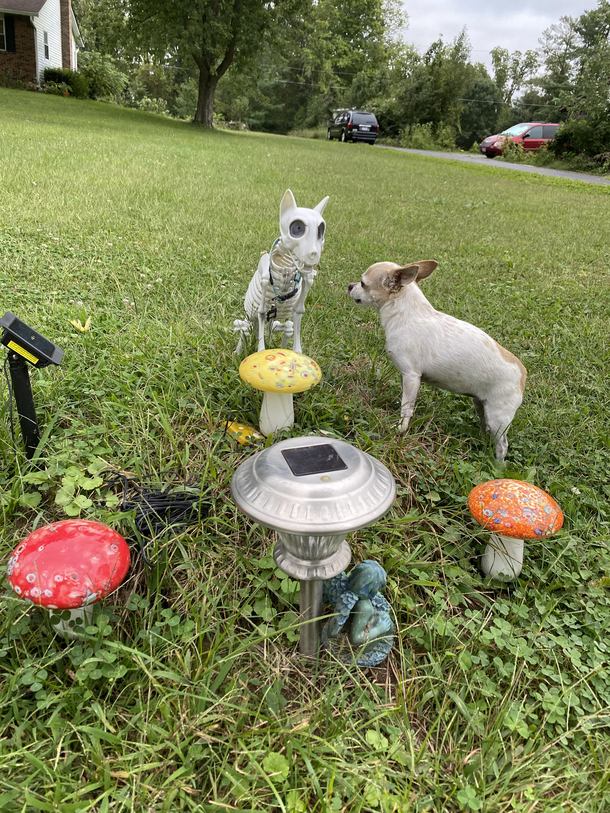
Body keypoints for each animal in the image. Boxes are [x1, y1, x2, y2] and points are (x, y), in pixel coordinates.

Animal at [350, 264, 524, 460]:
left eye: (363, 283)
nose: (349, 285)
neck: (405, 315)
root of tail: (522, 373)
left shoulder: (411, 377)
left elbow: (406, 407)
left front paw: (400, 429)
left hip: (498, 417)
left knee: (502, 444)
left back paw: (497, 463)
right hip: (481, 405)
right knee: (485, 425)